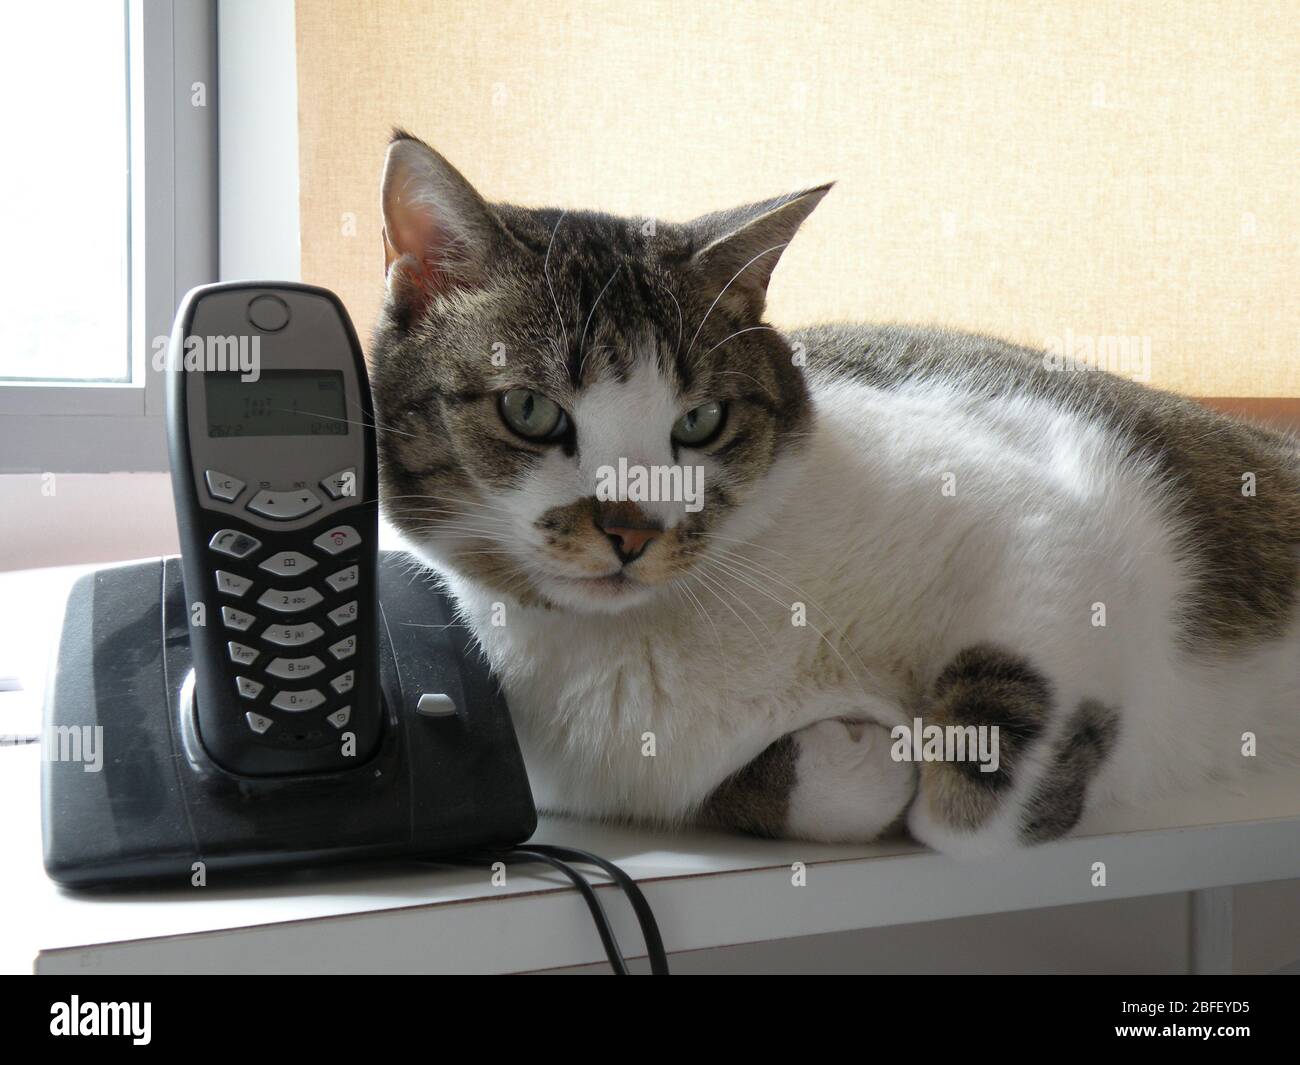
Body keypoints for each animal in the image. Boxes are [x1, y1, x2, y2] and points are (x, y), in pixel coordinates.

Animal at [366, 131, 1300, 858]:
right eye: (529, 410)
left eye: (701, 420)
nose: (632, 530)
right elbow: (807, 788)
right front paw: (854, 753)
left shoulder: (1057, 499)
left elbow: (961, 811)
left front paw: (1029, 764)